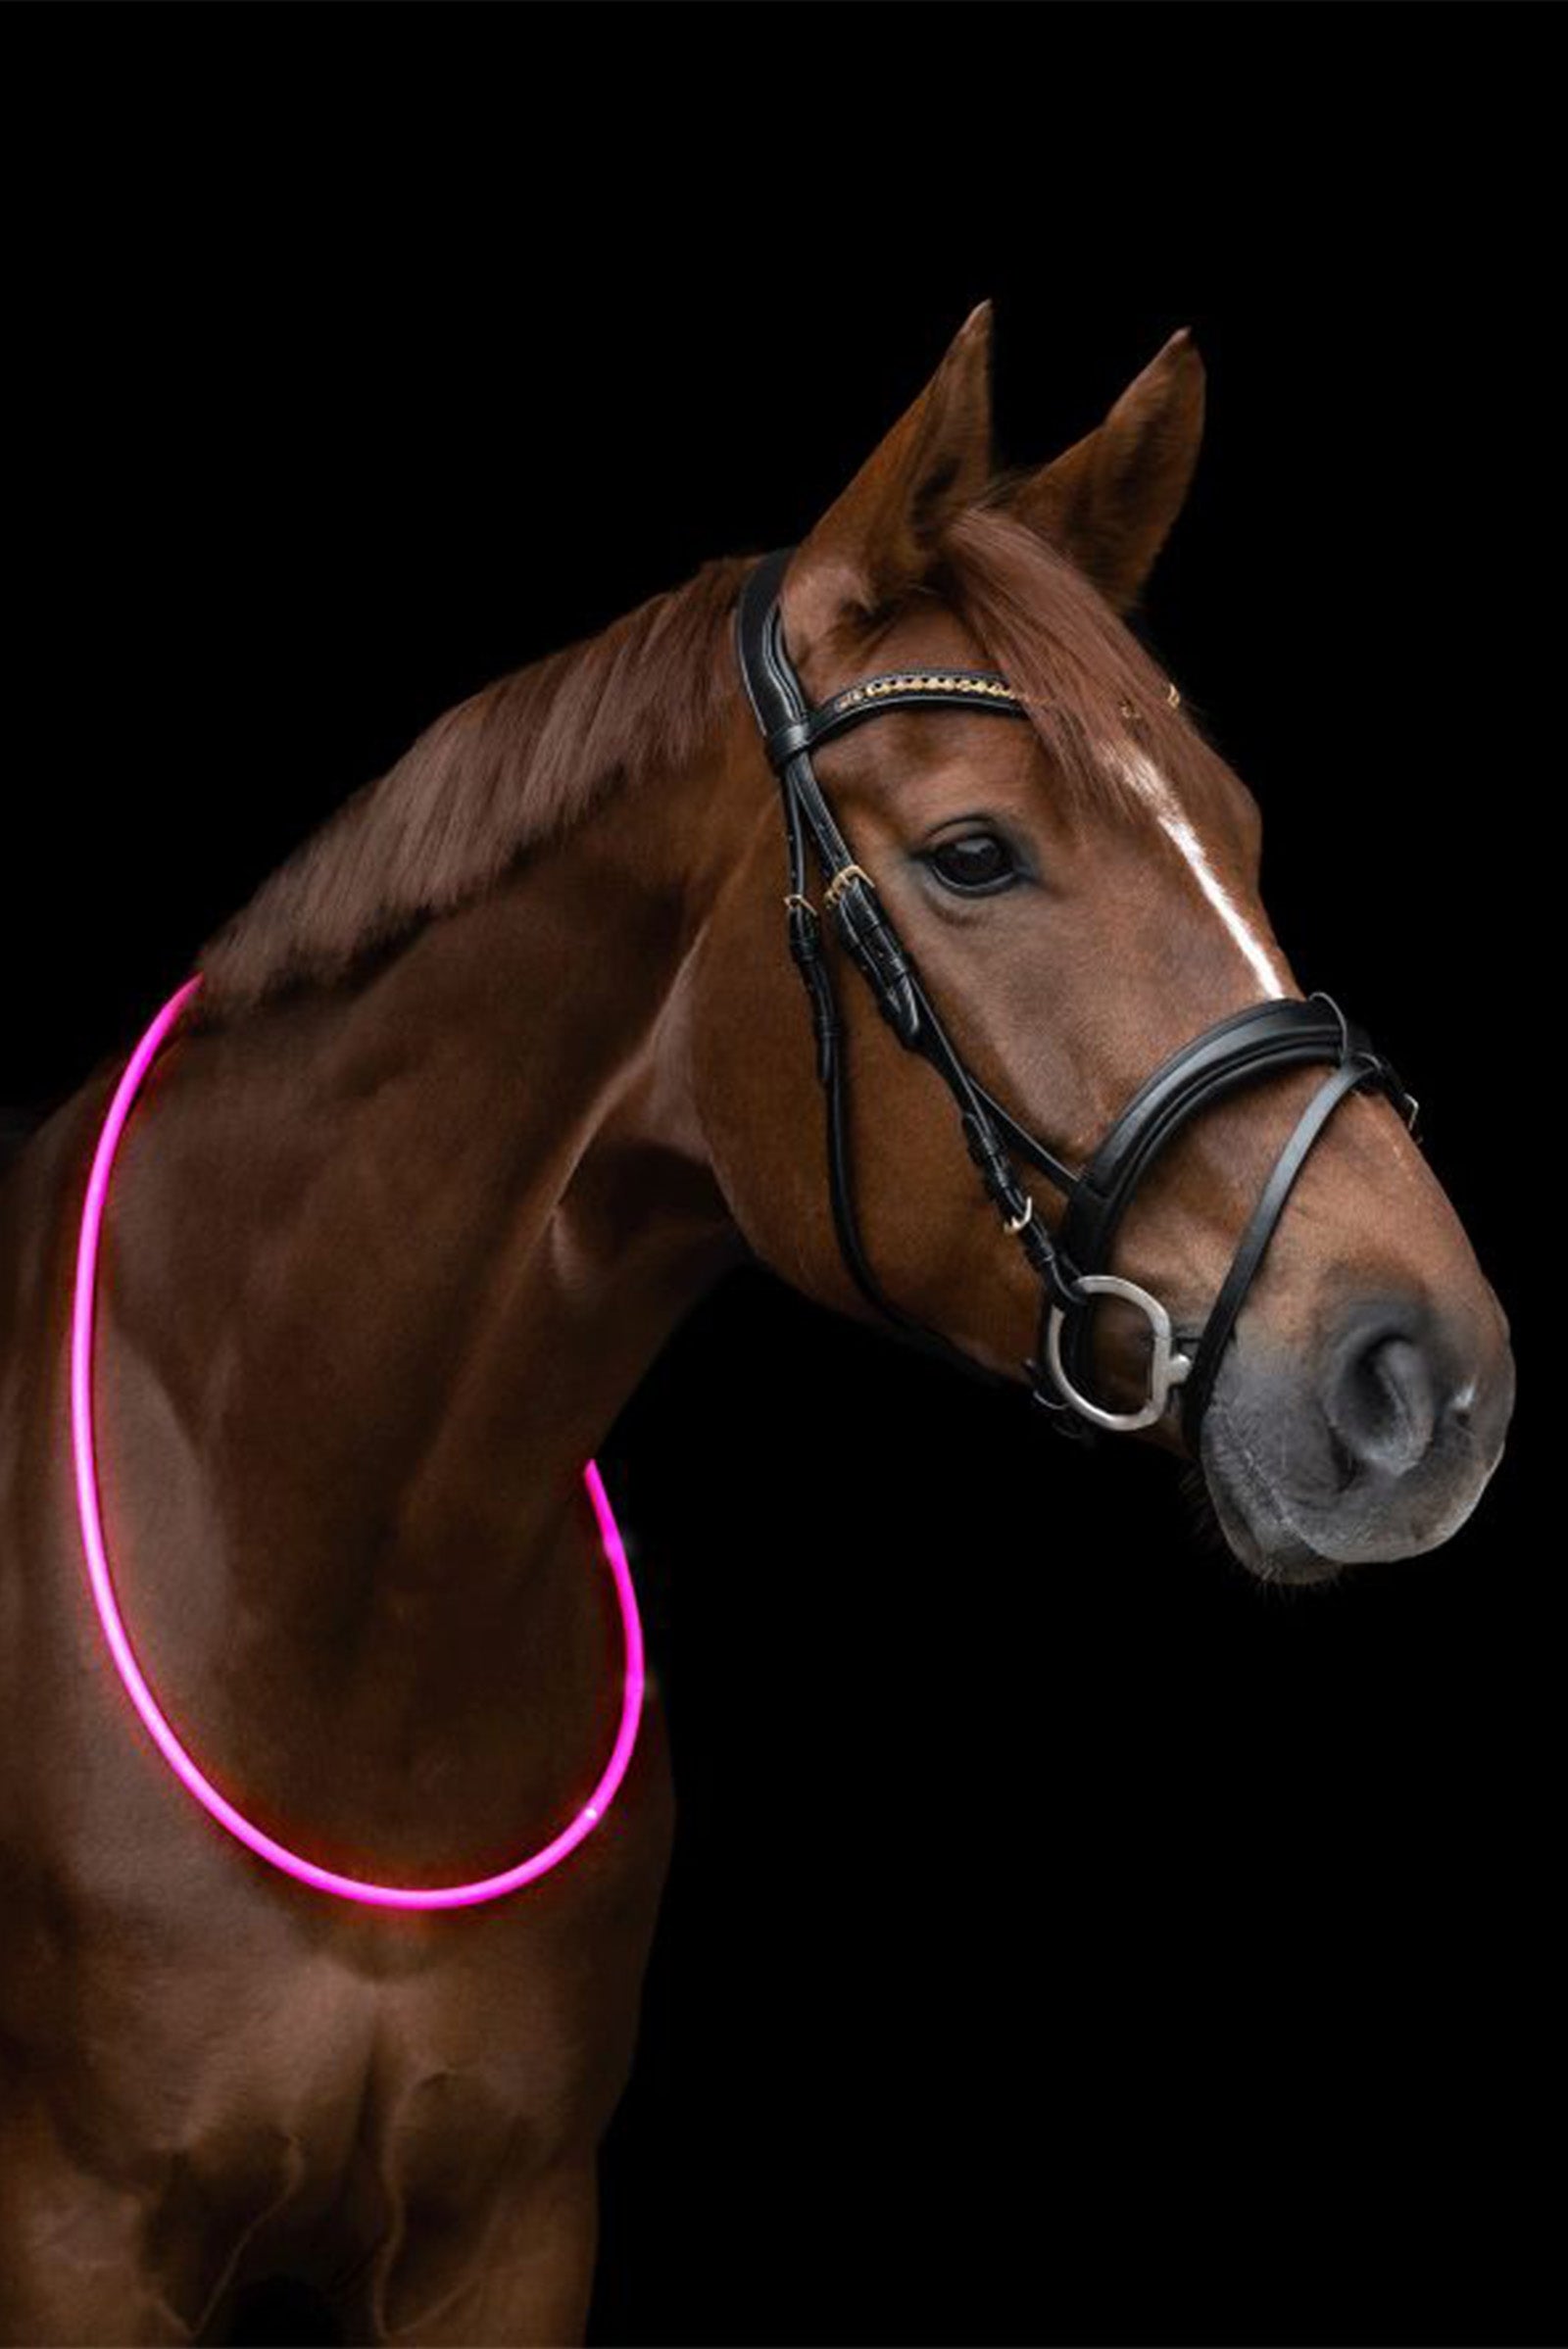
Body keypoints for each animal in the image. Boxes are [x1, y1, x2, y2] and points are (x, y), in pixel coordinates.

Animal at [0, 302, 1515, 2345]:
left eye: (1241, 831)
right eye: (973, 854)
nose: (1428, 1378)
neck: (328, 1615)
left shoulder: (507, 2237)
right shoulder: (78, 2237)